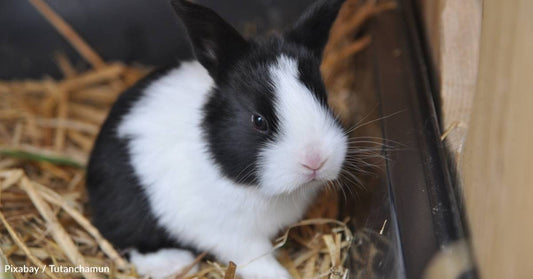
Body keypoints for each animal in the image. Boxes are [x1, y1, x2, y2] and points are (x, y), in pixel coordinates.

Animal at [85, 0, 348, 278]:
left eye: (324, 100)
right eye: (258, 120)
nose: (316, 160)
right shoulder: (234, 236)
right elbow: (257, 261)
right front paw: (279, 275)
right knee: (126, 241)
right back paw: (174, 264)